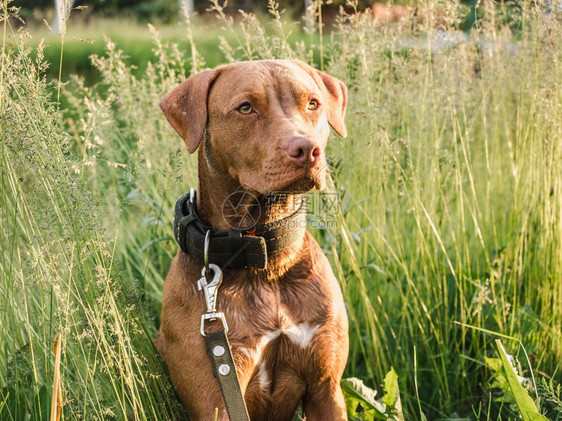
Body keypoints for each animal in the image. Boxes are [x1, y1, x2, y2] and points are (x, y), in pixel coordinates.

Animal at [155, 60, 348, 420]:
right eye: (245, 108)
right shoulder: (218, 396)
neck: (265, 257)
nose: (307, 149)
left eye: (313, 103)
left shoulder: (325, 387)